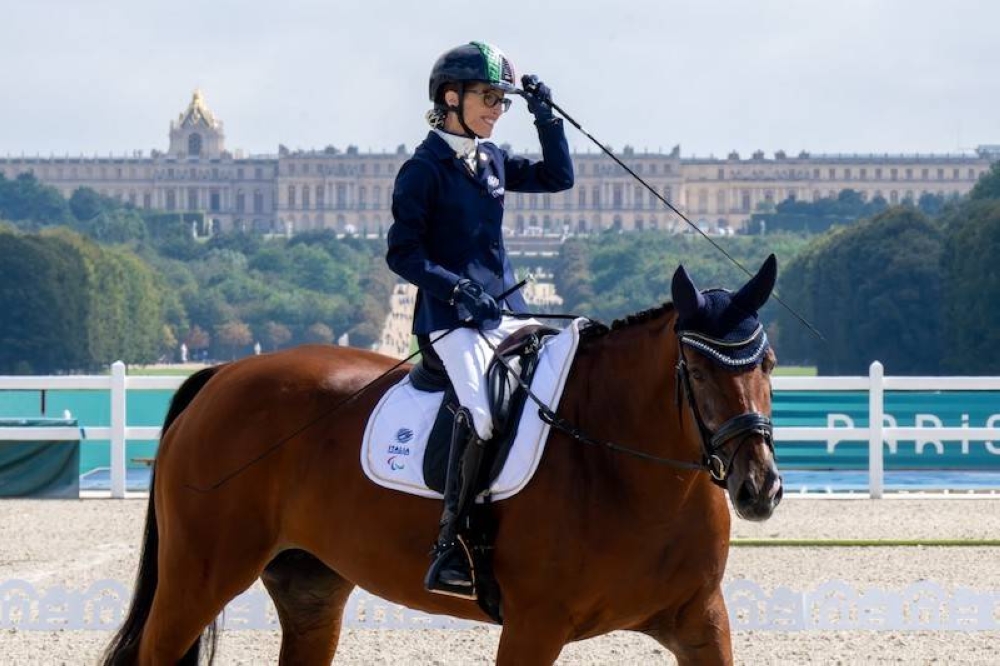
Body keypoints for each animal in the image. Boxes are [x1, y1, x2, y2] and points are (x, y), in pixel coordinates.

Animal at [105, 253, 784, 660]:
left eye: (769, 363)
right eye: (697, 369)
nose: (759, 488)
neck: (634, 475)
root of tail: (222, 375)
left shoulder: (702, 621)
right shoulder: (534, 627)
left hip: (309, 588)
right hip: (200, 578)